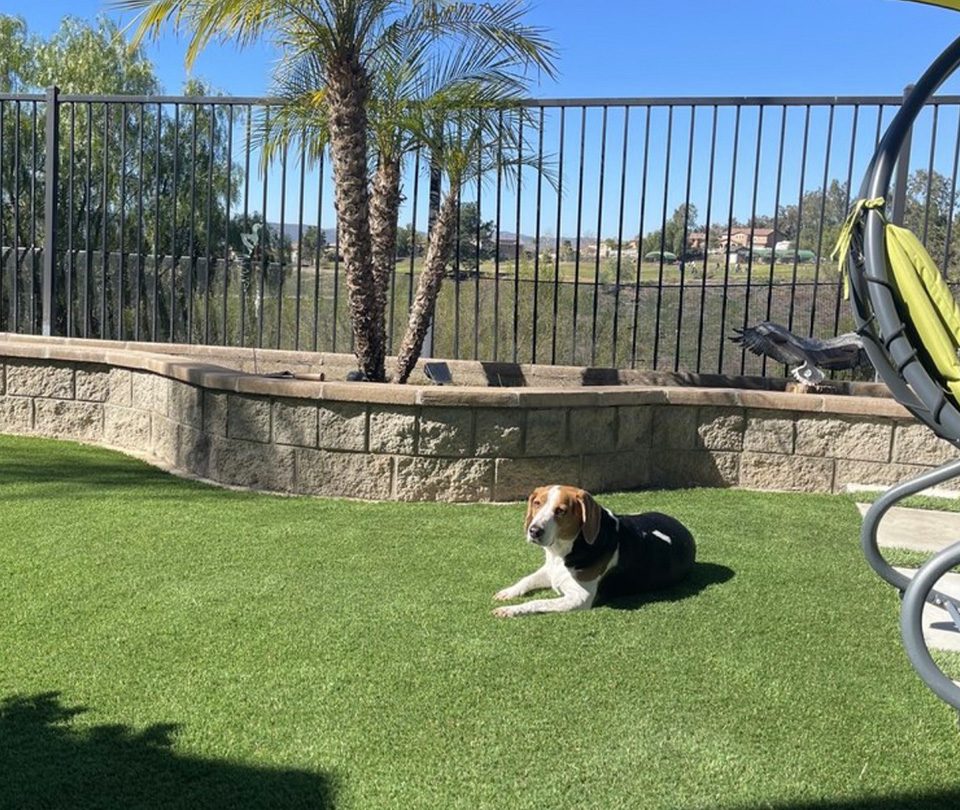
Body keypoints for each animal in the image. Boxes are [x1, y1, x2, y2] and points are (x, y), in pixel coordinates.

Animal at [496, 482, 696, 616]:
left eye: (561, 510)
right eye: (537, 503)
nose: (534, 531)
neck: (562, 552)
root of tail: (686, 530)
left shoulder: (580, 598)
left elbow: (538, 602)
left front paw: (512, 609)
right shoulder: (551, 571)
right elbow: (526, 579)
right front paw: (508, 592)